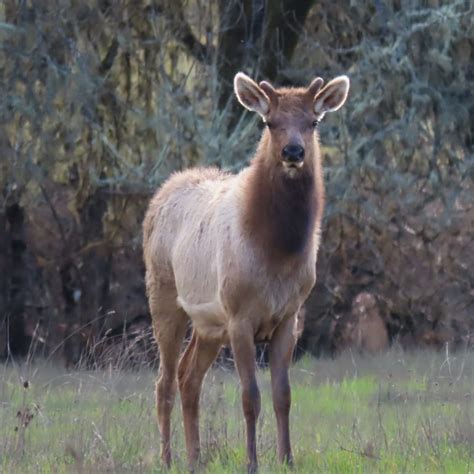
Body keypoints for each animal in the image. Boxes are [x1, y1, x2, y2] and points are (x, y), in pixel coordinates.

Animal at [143, 69, 350, 470]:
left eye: (313, 122)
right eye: (270, 122)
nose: (293, 152)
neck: (277, 253)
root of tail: (158, 197)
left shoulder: (289, 316)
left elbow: (283, 394)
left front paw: (287, 459)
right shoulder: (240, 316)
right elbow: (250, 396)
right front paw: (252, 462)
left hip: (208, 325)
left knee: (188, 377)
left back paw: (196, 459)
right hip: (163, 297)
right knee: (164, 382)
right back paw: (168, 459)